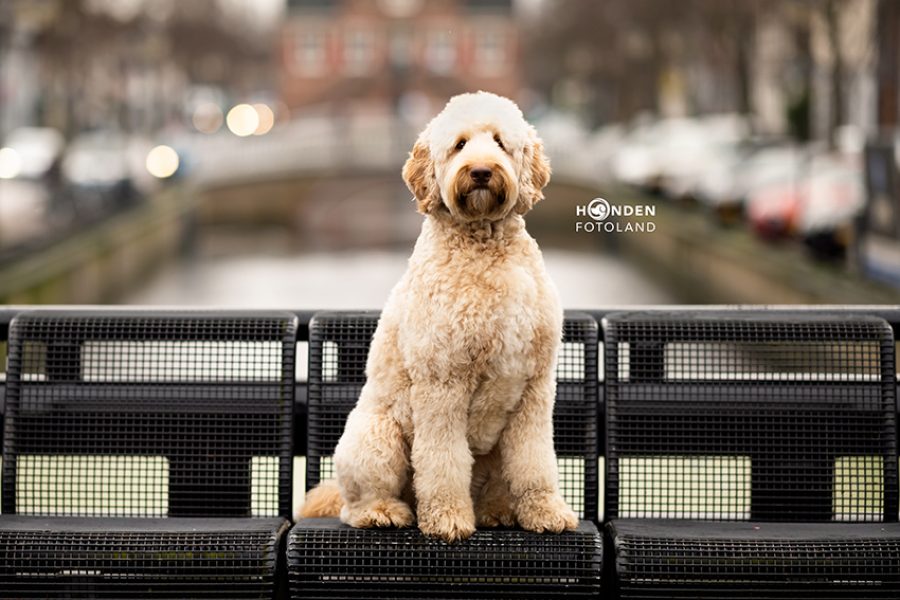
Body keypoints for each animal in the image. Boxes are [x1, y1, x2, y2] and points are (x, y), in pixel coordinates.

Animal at [302, 90, 580, 544]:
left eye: (500, 142)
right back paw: (384, 512)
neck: (484, 245)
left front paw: (545, 510)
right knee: (355, 504)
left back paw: (497, 511)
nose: (482, 171)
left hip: (491, 454)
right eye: (460, 145)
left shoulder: (536, 386)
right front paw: (448, 518)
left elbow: (534, 460)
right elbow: (442, 460)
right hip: (377, 438)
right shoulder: (442, 380)